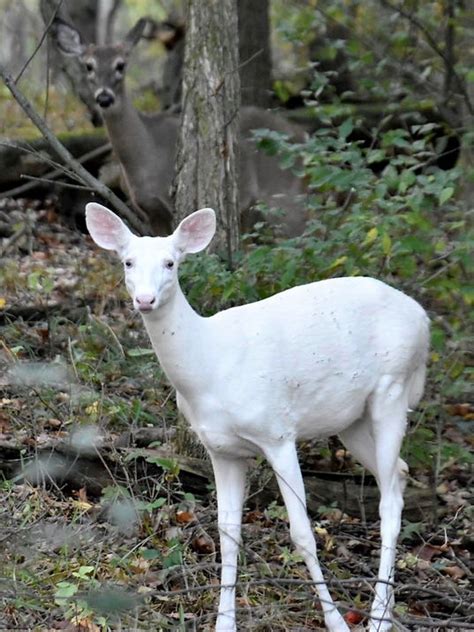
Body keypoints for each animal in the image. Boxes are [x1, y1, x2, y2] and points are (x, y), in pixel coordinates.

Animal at [85, 204, 430, 632]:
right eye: (128, 261)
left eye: (171, 262)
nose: (145, 299)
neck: (208, 366)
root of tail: (424, 319)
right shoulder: (221, 449)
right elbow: (227, 532)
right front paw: (224, 623)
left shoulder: (277, 431)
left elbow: (302, 533)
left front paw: (336, 622)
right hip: (351, 420)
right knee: (398, 473)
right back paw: (388, 607)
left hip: (392, 389)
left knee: (389, 502)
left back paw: (378, 617)